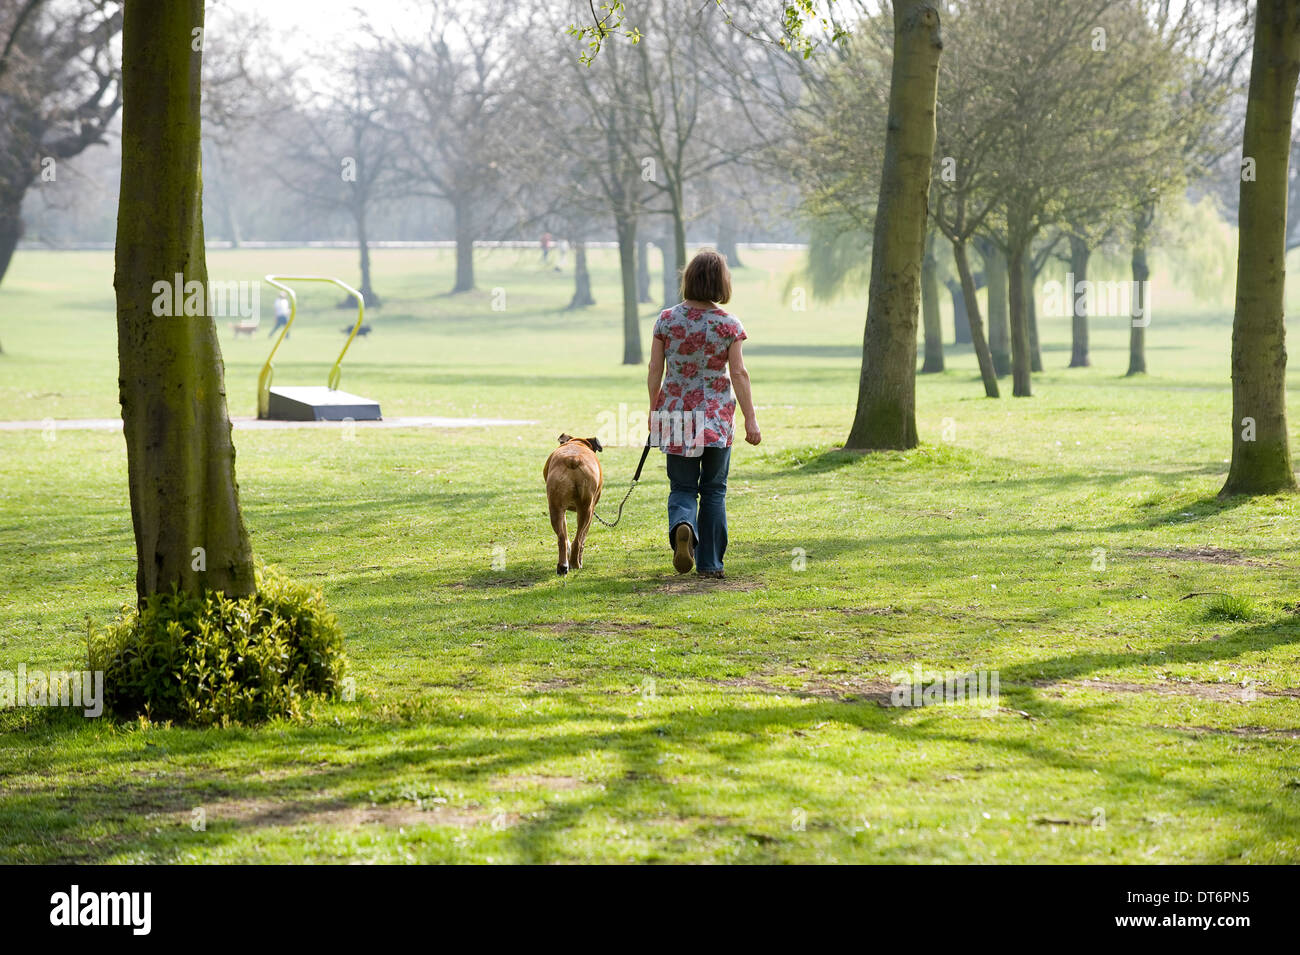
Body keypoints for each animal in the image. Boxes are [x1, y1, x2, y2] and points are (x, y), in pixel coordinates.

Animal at [543, 433, 603, 574]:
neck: (577, 443)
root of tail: (573, 459)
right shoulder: (591, 511)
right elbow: (583, 539)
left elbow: (565, 534)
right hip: (586, 510)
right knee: (579, 539)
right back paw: (576, 564)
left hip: (556, 509)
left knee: (562, 539)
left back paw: (563, 566)